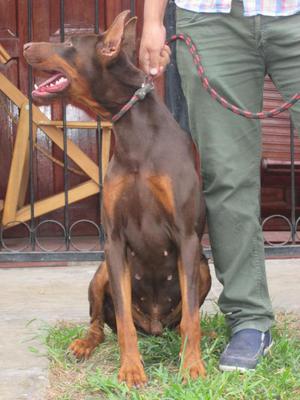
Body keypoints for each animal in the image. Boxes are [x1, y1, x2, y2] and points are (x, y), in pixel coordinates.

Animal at [24, 10, 211, 388]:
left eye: (68, 43)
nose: (23, 47)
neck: (135, 136)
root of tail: (154, 326)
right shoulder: (113, 240)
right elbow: (123, 320)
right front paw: (131, 369)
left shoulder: (187, 237)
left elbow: (191, 317)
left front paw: (192, 365)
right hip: (101, 271)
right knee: (99, 322)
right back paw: (83, 344)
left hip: (202, 266)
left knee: (184, 317)